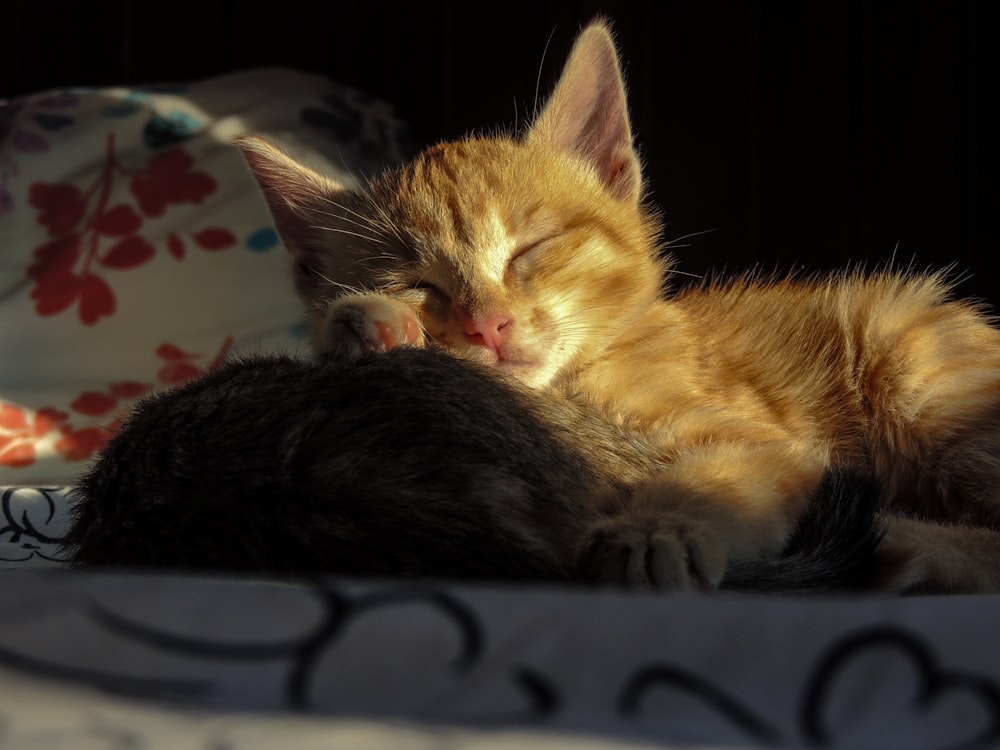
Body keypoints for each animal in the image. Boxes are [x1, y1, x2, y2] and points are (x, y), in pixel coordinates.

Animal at [236, 17, 1000, 596]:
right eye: (415, 283)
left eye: (531, 248)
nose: (489, 325)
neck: (577, 382)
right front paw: (368, 322)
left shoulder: (774, 442)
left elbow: (730, 471)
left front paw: (658, 526)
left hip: (915, 362)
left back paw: (910, 546)